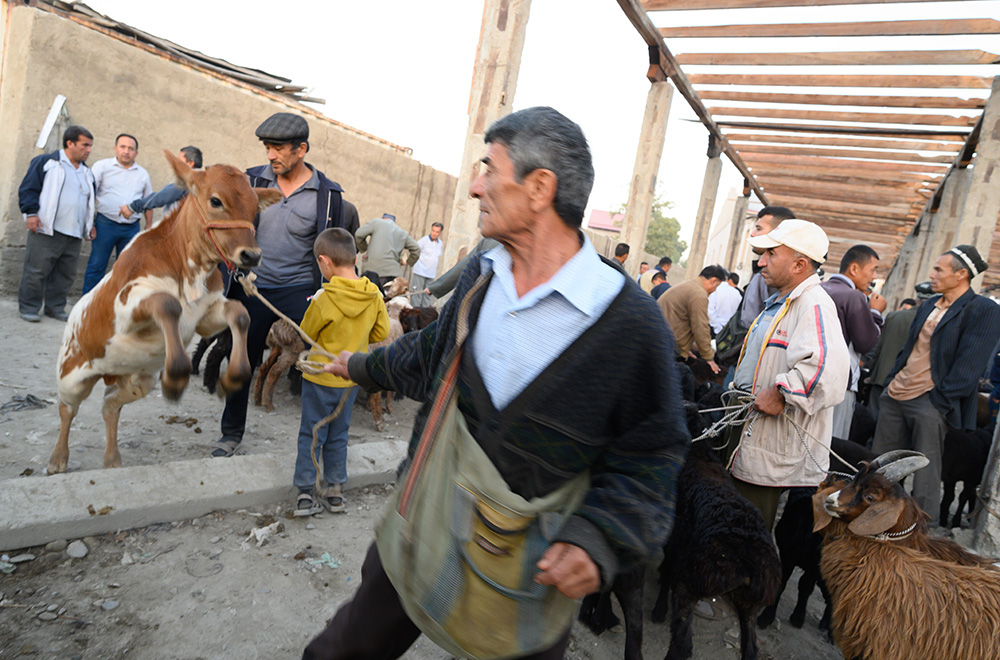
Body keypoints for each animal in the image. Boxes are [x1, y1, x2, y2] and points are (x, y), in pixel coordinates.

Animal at [51, 151, 282, 472]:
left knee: (110, 404)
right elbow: (167, 304)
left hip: (138, 381)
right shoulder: (127, 306)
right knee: (67, 409)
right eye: (215, 200)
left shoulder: (207, 315)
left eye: (254, 207)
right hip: (72, 375)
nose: (251, 255)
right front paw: (175, 376)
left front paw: (232, 378)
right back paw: (58, 459)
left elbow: (240, 313)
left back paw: (112, 459)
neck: (189, 272)